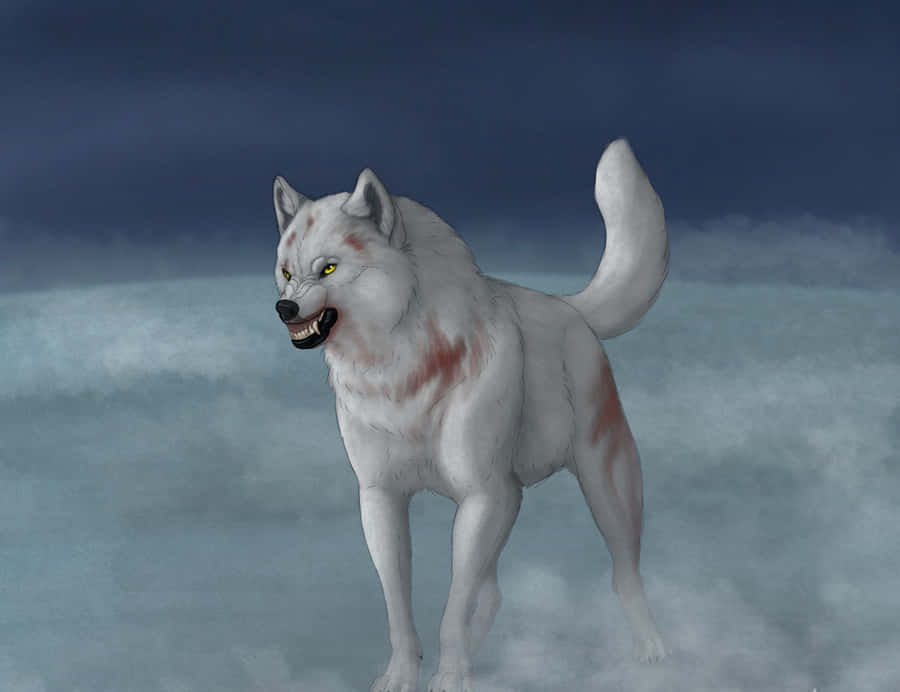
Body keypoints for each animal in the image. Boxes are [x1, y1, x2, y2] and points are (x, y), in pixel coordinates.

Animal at [271, 139, 669, 692]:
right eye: (287, 271)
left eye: (328, 268)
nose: (284, 308)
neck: (404, 369)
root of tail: (571, 310)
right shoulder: (381, 498)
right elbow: (400, 606)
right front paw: (402, 674)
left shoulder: (483, 496)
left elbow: (452, 606)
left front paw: (451, 675)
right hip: (512, 503)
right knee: (495, 592)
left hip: (603, 486)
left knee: (625, 574)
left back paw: (653, 651)